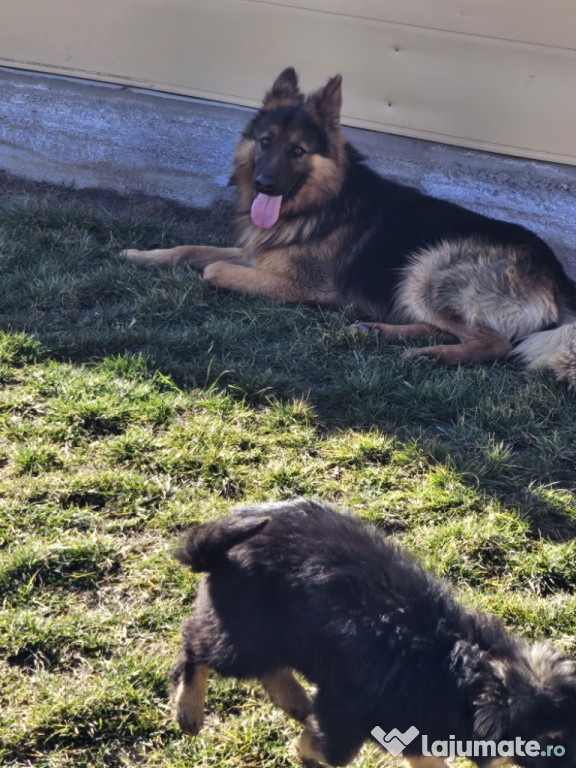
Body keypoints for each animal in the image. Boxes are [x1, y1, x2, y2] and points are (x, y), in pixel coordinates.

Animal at [124, 67, 576, 388]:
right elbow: (191, 250)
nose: (263, 185)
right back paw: (380, 332)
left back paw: (431, 355)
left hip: (429, 267)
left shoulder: (303, 287)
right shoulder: (260, 254)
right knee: (452, 329)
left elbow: (213, 268)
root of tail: (557, 277)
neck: (322, 203)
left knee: (495, 343)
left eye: (298, 151)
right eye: (265, 142)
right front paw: (141, 255)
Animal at [171, 499, 576, 767]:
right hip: (246, 632)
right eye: (549, 746)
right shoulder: (345, 710)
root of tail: (217, 547)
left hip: (272, 635)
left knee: (269, 670)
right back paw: (189, 711)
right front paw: (303, 751)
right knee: (197, 648)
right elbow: (329, 749)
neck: (459, 676)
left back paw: (296, 701)